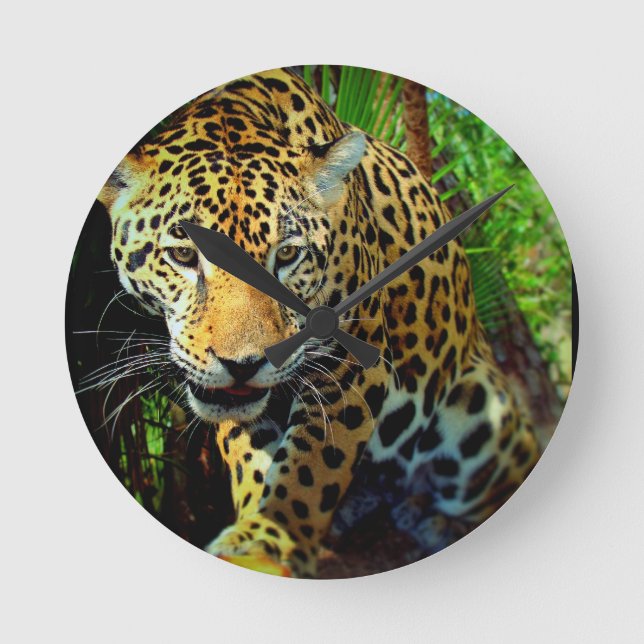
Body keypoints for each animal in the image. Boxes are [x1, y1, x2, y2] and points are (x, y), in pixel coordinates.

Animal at [97, 67, 539, 578]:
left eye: (288, 255)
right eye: (184, 256)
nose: (243, 365)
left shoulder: (352, 365)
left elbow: (313, 465)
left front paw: (271, 539)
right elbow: (252, 457)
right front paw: (255, 529)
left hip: (482, 413)